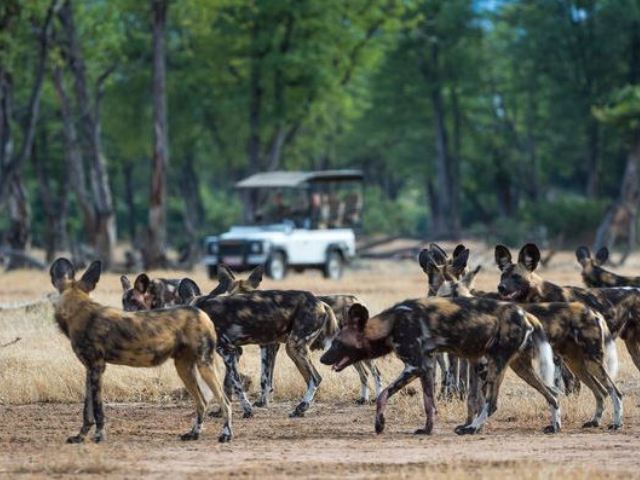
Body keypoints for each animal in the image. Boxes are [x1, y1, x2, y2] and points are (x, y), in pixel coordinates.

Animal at [48, 258, 232, 442]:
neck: (80, 313)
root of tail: (201, 313)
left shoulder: (97, 368)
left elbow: (98, 410)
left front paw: (99, 435)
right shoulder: (89, 370)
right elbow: (87, 410)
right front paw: (80, 436)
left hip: (204, 365)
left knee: (226, 402)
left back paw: (225, 434)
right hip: (184, 368)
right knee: (202, 402)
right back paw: (194, 433)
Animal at [438, 268, 624, 430]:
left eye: (447, 296)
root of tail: (592, 311)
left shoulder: (486, 368)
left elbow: (482, 401)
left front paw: (475, 426)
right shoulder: (478, 368)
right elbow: (473, 400)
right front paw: (469, 425)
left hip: (591, 361)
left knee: (614, 391)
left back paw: (616, 424)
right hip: (574, 364)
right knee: (601, 392)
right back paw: (594, 421)